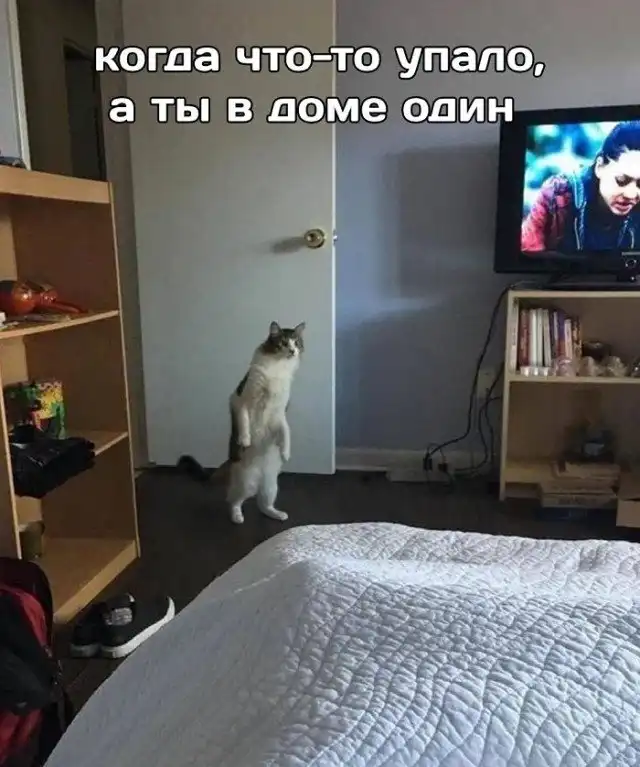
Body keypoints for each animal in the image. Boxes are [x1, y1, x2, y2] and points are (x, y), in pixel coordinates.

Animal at [178, 321, 305, 525]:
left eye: (297, 342)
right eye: (285, 342)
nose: (293, 351)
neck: (278, 368)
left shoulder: (279, 414)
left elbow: (286, 431)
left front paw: (285, 452)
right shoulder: (240, 401)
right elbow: (245, 422)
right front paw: (245, 439)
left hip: (271, 486)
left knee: (263, 504)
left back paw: (276, 513)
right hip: (246, 483)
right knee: (234, 500)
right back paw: (237, 516)